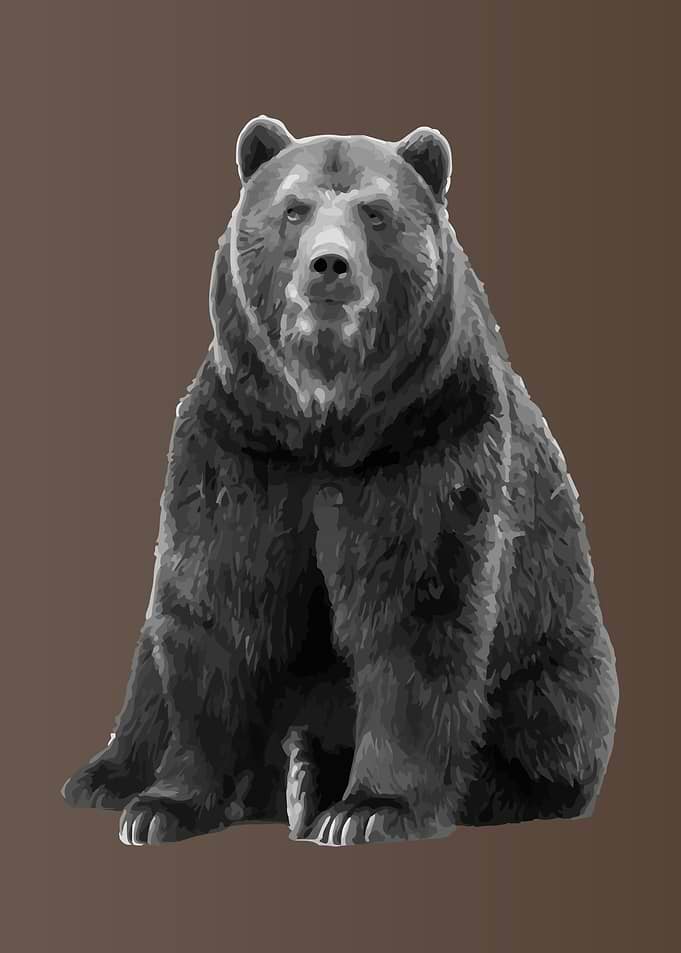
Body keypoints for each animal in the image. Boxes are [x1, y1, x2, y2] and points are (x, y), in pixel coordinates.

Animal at [61, 116, 619, 847]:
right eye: (293, 209)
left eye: (375, 212)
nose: (329, 265)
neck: (326, 421)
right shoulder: (242, 449)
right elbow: (216, 608)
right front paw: (163, 805)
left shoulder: (428, 448)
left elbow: (415, 613)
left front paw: (370, 809)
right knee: (149, 666)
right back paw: (112, 776)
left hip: (556, 652)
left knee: (550, 715)